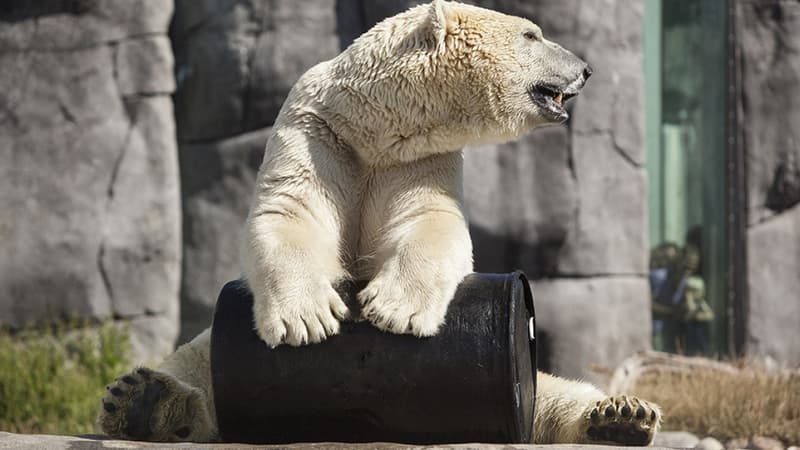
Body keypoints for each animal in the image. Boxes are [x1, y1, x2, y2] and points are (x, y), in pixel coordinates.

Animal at [98, 0, 664, 442]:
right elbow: (291, 210)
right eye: (532, 34)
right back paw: (143, 399)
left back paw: (619, 415)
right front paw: (308, 318)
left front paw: (395, 309)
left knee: (551, 394)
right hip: (207, 353)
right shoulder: (316, 131)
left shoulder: (416, 157)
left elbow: (429, 219)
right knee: (190, 364)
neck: (373, 125)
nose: (587, 68)